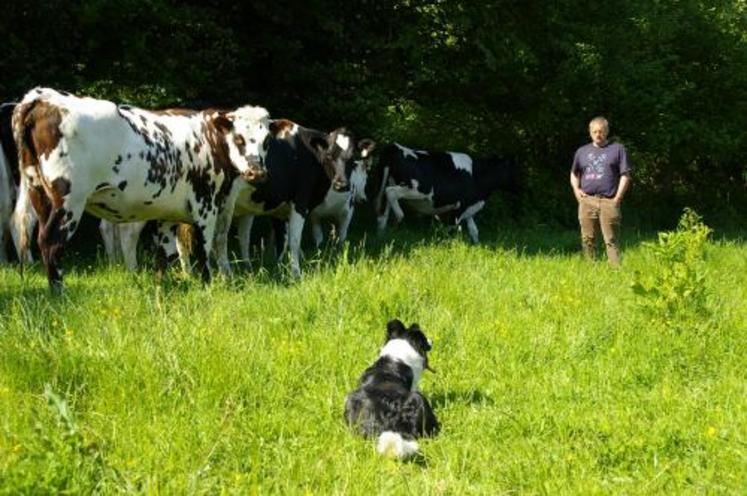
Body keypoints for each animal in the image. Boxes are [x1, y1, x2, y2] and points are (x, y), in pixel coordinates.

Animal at [13, 88, 272, 290]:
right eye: (238, 138)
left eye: (267, 141)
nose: (257, 172)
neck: (208, 138)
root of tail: (43, 96)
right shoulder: (205, 207)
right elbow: (205, 251)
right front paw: (207, 288)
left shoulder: (168, 214)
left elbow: (165, 254)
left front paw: (161, 289)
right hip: (69, 201)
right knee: (51, 243)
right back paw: (60, 292)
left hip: (39, 193)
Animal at [374, 142, 520, 243]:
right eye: (514, 170)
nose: (519, 188)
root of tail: (395, 147)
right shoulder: (460, 207)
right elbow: (451, 227)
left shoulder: (469, 206)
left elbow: (474, 230)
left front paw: (477, 246)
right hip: (415, 189)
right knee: (391, 193)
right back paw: (399, 217)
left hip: (391, 184)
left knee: (383, 213)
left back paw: (382, 234)